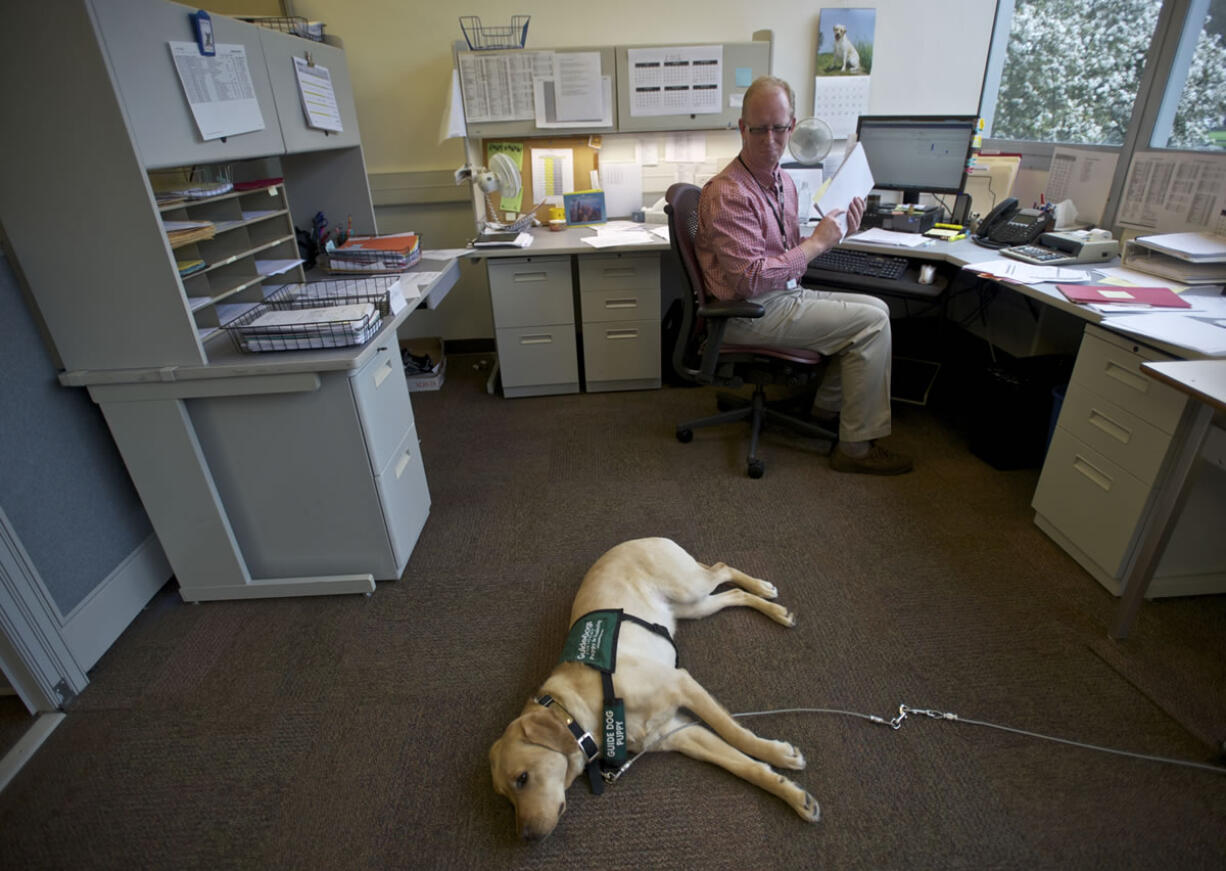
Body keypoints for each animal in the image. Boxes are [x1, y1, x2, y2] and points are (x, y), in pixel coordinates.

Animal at [485, 534, 814, 844]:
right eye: (506, 798)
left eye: (522, 778)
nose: (526, 838)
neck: (589, 712)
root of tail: (635, 539)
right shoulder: (677, 733)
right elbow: (740, 765)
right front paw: (794, 795)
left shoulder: (682, 684)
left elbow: (736, 734)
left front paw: (778, 754)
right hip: (694, 607)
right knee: (731, 593)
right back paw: (775, 609)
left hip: (689, 586)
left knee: (721, 568)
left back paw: (763, 588)